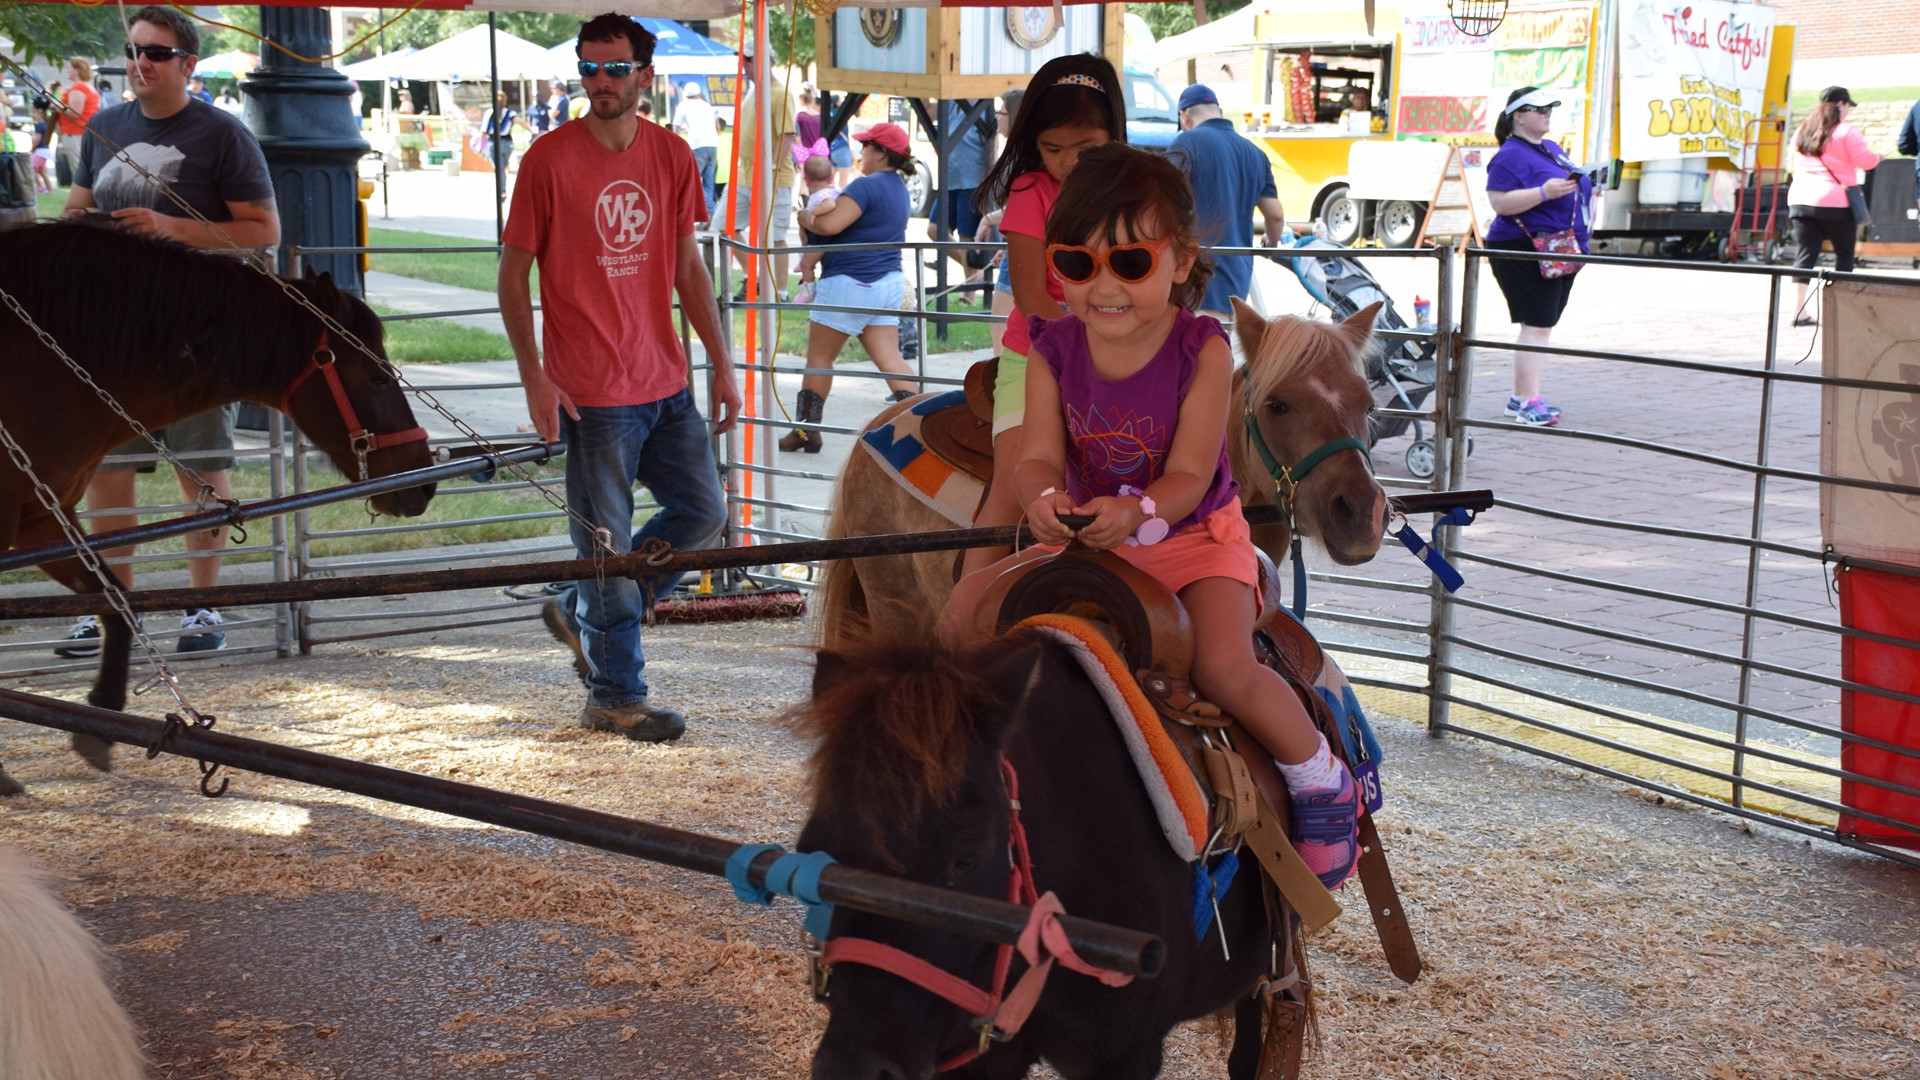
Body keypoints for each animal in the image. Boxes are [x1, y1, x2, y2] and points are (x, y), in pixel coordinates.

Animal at [0, 220, 435, 791]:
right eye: (378, 375)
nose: (423, 480)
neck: (45, 360)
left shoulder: (41, 522)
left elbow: (120, 606)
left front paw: (100, 718)